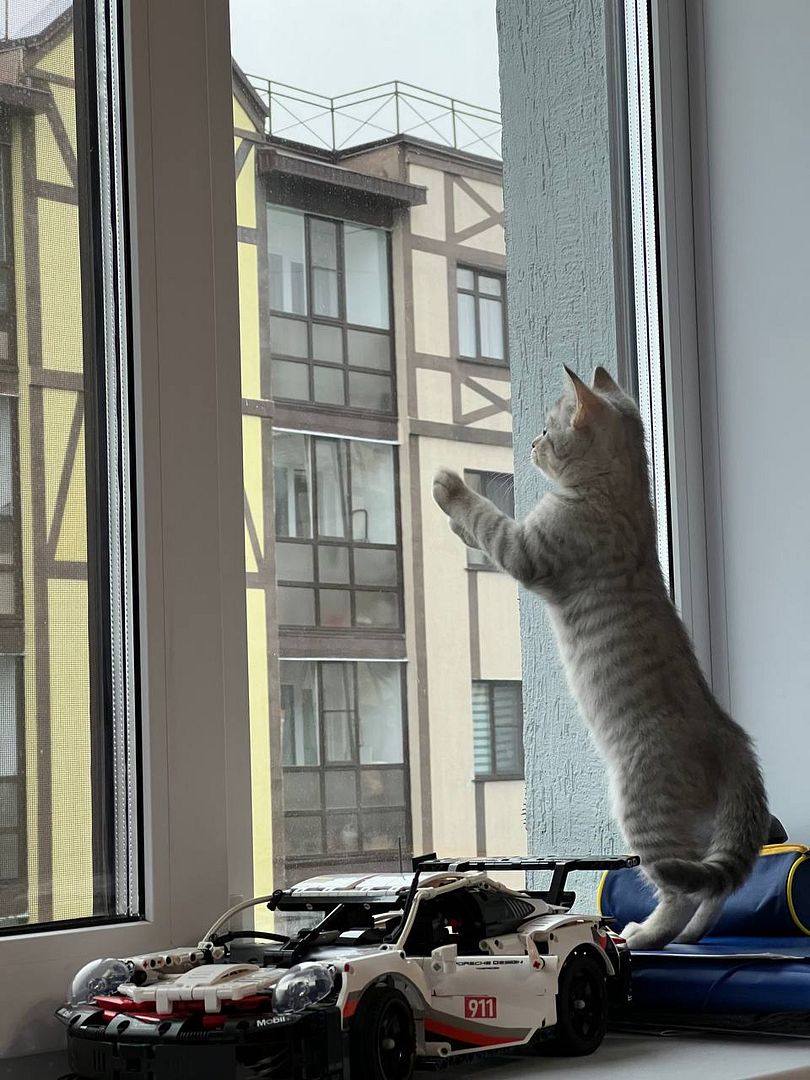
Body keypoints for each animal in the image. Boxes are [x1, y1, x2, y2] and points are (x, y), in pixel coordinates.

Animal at [434, 365, 768, 946]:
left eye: (548, 429)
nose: (532, 441)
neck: (622, 496)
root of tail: (731, 736)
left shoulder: (525, 549)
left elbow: (486, 517)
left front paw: (450, 488)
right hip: (704, 829)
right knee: (718, 888)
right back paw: (691, 936)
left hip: (644, 809)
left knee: (680, 891)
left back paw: (645, 936)